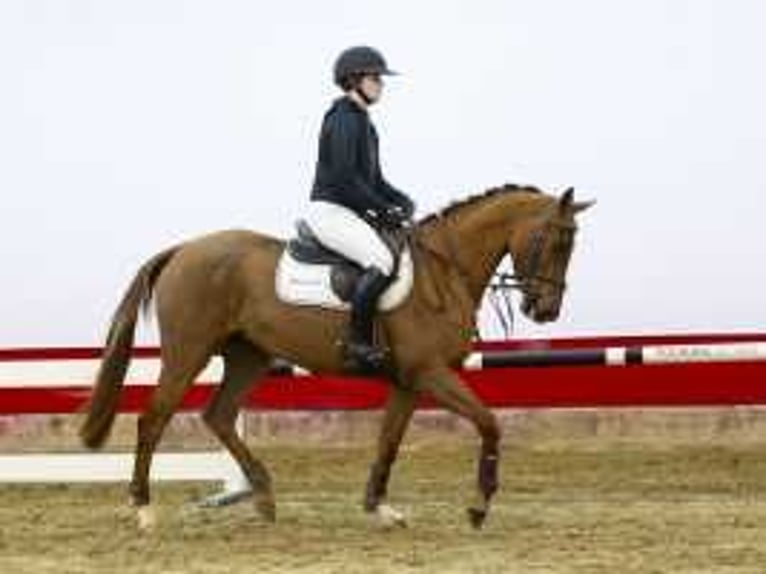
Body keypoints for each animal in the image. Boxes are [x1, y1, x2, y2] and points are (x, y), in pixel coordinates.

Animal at [79, 183, 592, 532]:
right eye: (556, 239)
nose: (545, 310)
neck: (444, 272)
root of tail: (183, 249)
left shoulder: (409, 381)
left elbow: (389, 441)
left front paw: (380, 507)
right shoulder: (430, 373)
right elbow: (490, 424)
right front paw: (478, 506)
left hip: (249, 356)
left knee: (219, 415)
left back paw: (264, 496)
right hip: (189, 352)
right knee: (153, 420)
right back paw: (144, 510)